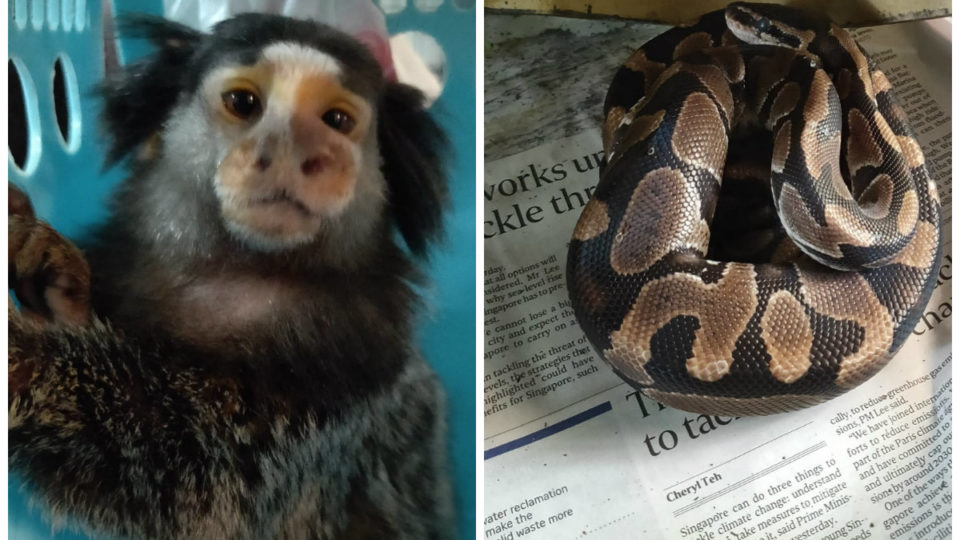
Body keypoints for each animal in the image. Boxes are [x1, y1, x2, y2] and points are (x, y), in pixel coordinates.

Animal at [8, 13, 454, 539]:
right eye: (244, 103)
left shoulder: (351, 372)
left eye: (337, 121)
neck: (240, 270)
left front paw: (22, 357)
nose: (290, 152)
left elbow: (185, 473)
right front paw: (60, 282)